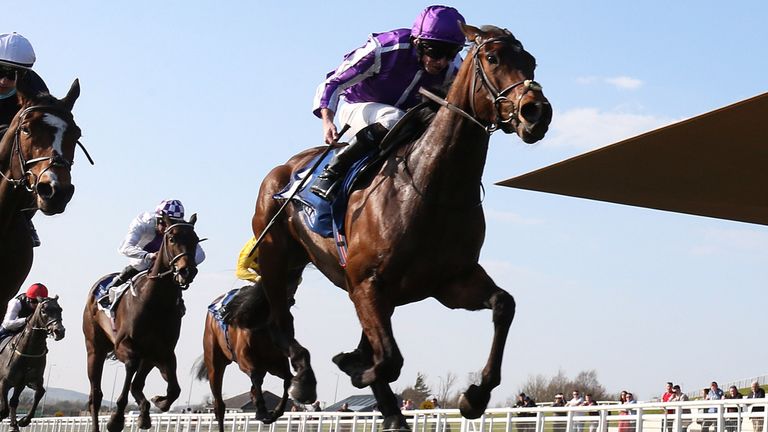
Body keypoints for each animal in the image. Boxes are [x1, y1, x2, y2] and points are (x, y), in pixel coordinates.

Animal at [0, 296, 65, 432]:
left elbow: (39, 392)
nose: (59, 331)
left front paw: (23, 421)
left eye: (60, 309)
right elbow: (3, 410)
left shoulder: (26, 381)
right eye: (44, 311)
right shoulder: (4, 381)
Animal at [82, 215, 201, 432]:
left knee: (137, 384)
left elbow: (174, 389)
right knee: (96, 394)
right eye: (172, 239)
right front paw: (116, 418)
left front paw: (156, 403)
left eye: (195, 240)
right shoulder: (124, 345)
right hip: (95, 349)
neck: (156, 301)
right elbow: (131, 367)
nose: (187, 271)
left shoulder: (162, 351)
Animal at [195, 282, 294, 430]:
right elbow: (256, 377)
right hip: (214, 363)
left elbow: (288, 379)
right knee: (219, 405)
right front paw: (262, 411)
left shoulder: (275, 362)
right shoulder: (244, 360)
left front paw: (276, 411)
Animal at [252, 24, 552, 432]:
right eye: (493, 58)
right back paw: (304, 378)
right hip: (276, 257)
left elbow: (504, 305)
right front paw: (354, 368)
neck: (433, 188)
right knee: (281, 320)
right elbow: (389, 360)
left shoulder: (449, 282)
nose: (536, 111)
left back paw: (391, 412)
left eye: (531, 62)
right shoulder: (367, 282)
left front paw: (475, 396)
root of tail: (285, 168)